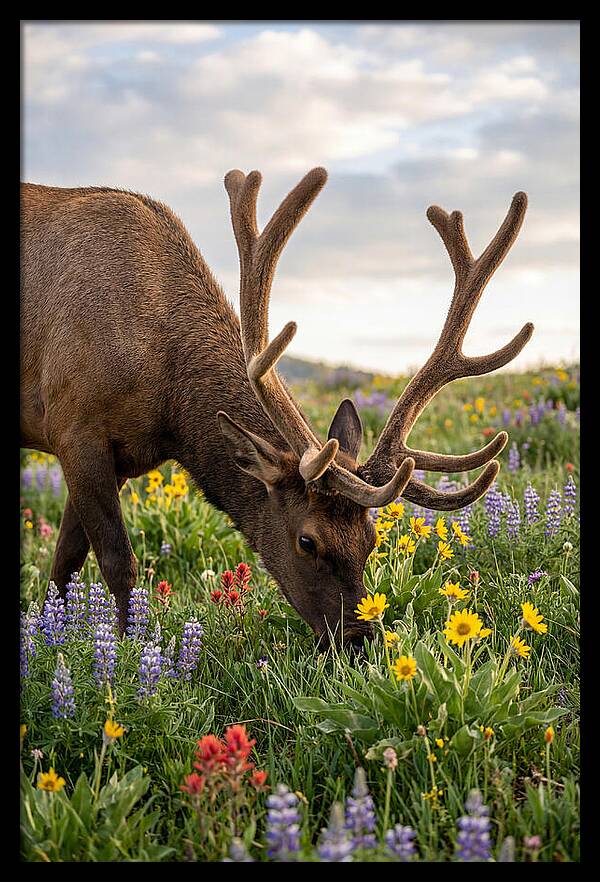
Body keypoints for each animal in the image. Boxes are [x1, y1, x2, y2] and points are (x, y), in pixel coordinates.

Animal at [20, 167, 533, 648]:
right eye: (307, 541)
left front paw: (53, 635)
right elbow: (116, 562)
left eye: (371, 540)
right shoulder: (74, 427)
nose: (359, 640)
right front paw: (127, 653)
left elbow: (64, 564)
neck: (169, 406)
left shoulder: (121, 457)